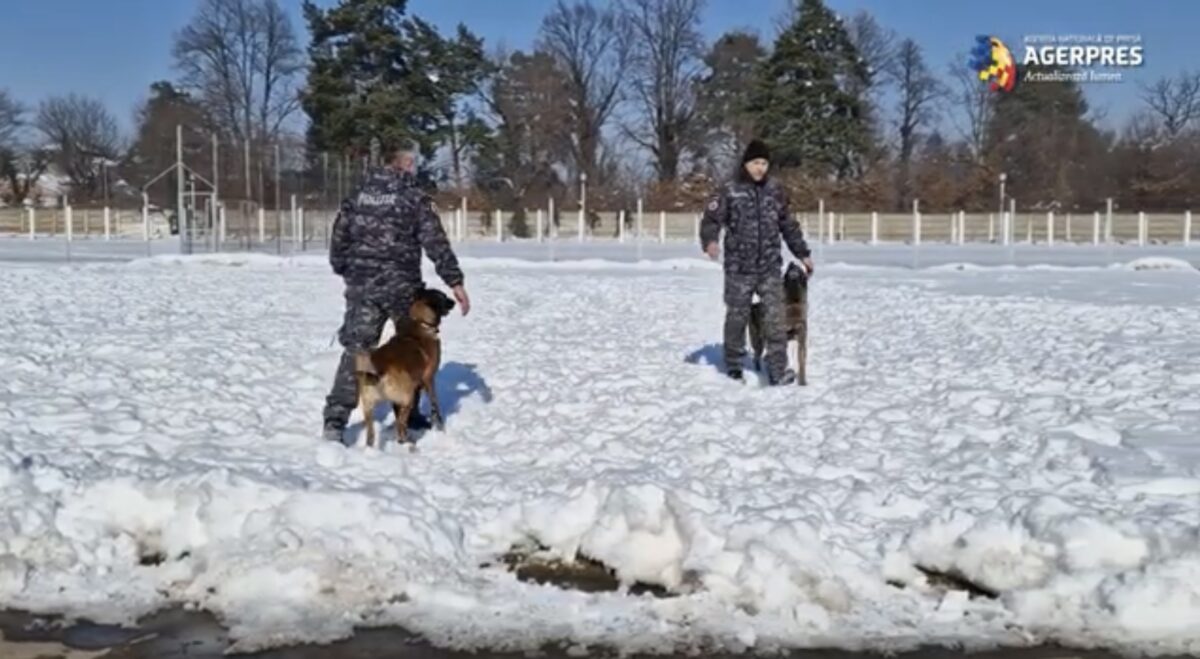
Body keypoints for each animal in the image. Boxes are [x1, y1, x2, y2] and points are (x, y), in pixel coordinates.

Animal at [352, 288, 456, 446]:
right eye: (443, 297)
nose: (454, 301)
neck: (420, 322)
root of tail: (378, 372)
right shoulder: (429, 378)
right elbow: (434, 404)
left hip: (369, 408)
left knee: (372, 435)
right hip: (408, 398)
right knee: (400, 425)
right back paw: (408, 443)